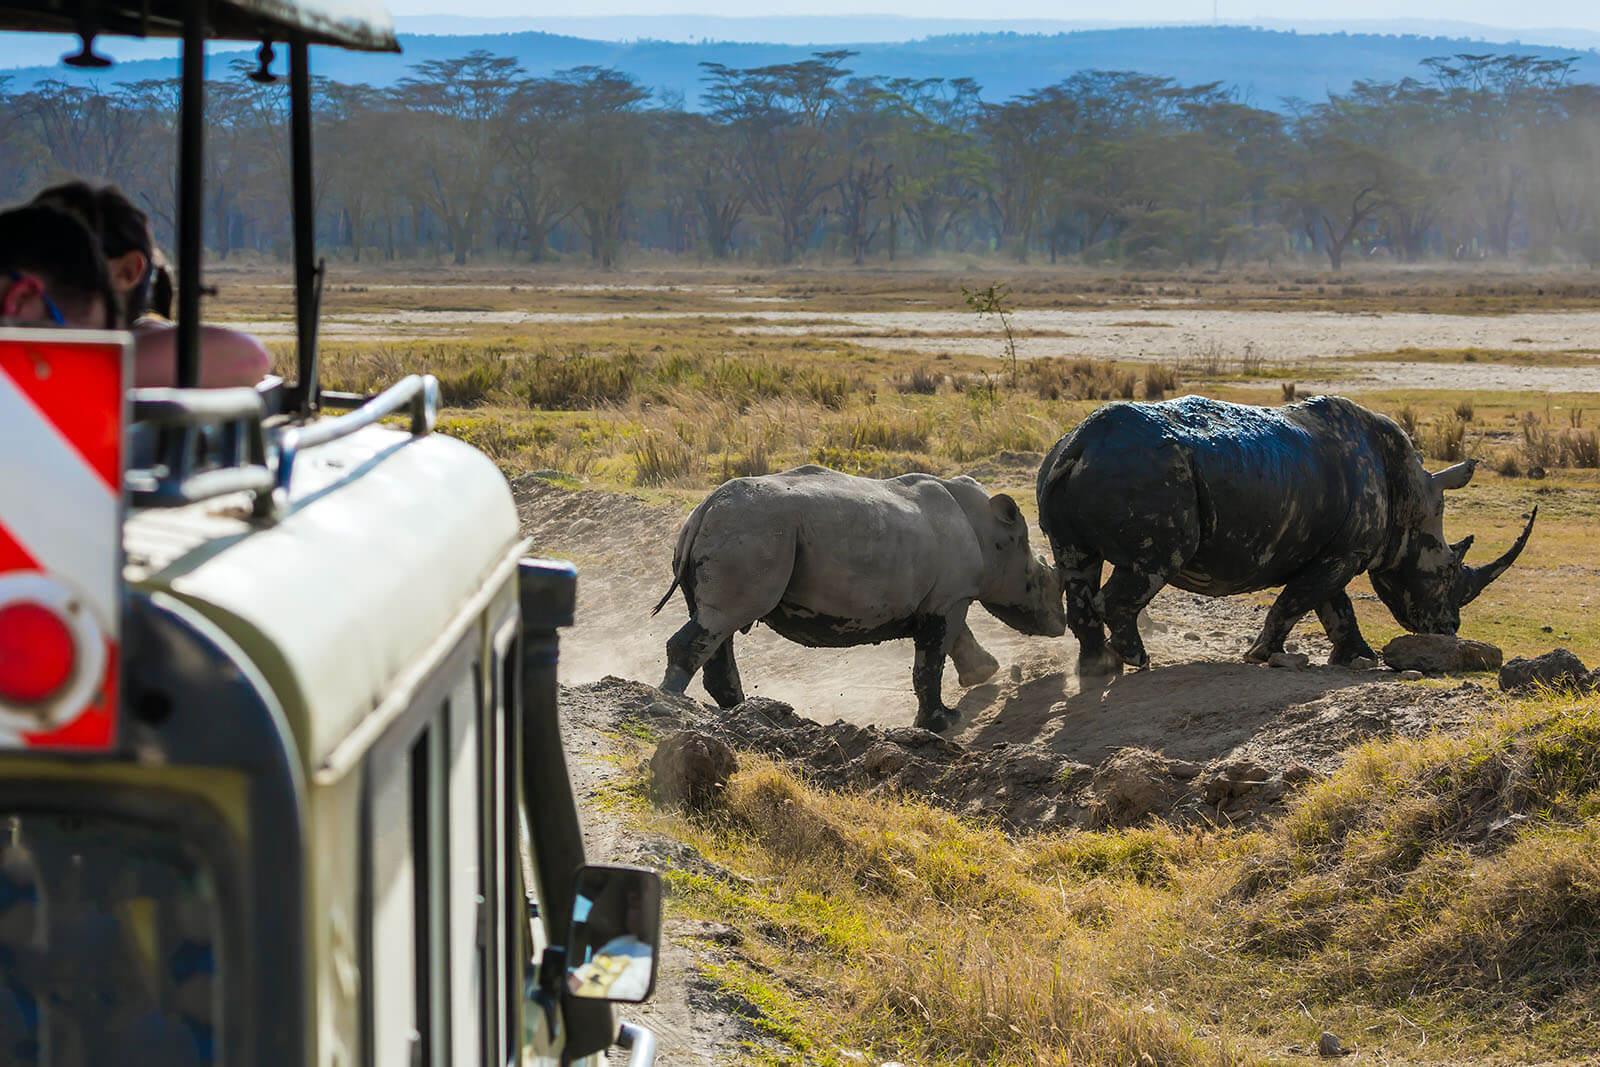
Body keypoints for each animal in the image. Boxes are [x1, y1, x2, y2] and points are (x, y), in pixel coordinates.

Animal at [653, 465, 1066, 732]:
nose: (1060, 625)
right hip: (755, 532)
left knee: (716, 626)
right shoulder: (949, 599)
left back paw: (747, 714)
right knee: (720, 622)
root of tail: (704, 509)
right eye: (1040, 579)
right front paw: (943, 723)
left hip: (742, 531)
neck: (990, 533)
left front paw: (984, 673)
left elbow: (956, 640)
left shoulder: (946, 597)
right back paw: (672, 707)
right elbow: (931, 661)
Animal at [1035, 395, 1536, 677]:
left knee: (1076, 564)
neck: (1410, 497)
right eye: (1446, 570)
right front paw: (1262, 655)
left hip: (1071, 467)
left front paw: (1359, 659)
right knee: (1152, 565)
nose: (1449, 630)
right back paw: (1136, 661)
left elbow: (1332, 605)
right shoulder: (1348, 552)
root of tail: (1079, 443)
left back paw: (1098, 668)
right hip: (1149, 477)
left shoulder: (1334, 550)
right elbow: (1299, 600)